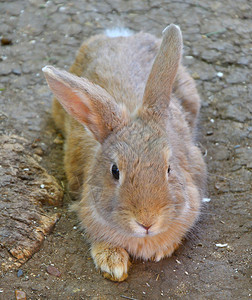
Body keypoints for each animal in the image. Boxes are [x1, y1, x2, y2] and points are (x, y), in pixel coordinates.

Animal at [41, 24, 207, 282]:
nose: (147, 222)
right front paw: (113, 264)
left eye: (169, 168)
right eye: (115, 171)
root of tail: (119, 35)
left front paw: (160, 250)